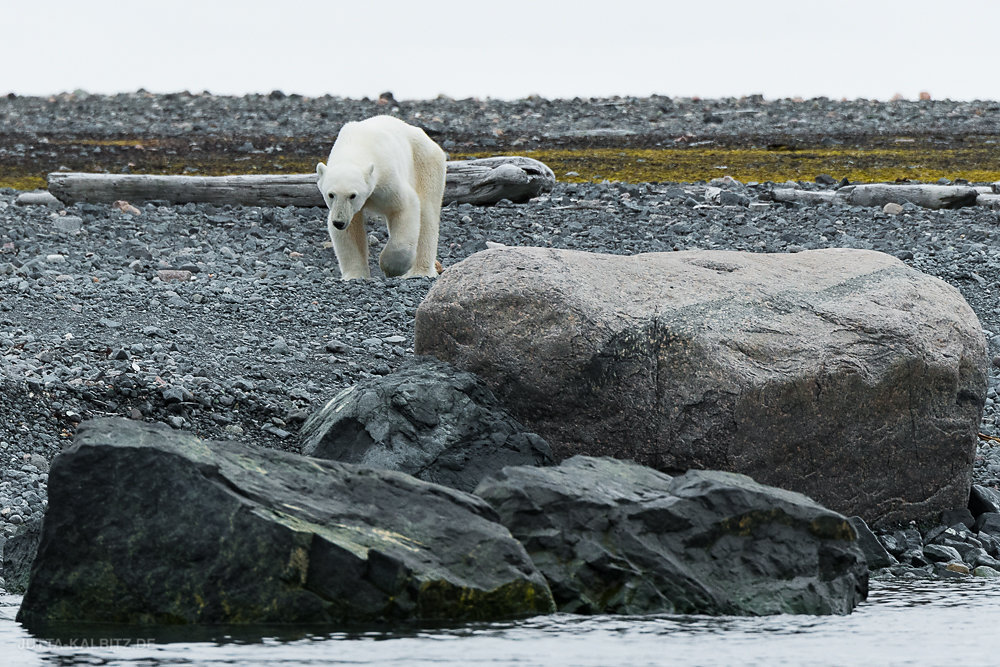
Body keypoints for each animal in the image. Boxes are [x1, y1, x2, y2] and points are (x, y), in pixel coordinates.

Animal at [316, 116, 446, 280]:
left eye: (353, 195)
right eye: (331, 194)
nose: (339, 222)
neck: (358, 145)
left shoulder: (387, 177)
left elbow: (405, 206)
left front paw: (391, 267)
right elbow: (351, 229)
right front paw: (355, 275)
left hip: (426, 164)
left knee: (427, 213)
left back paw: (420, 271)